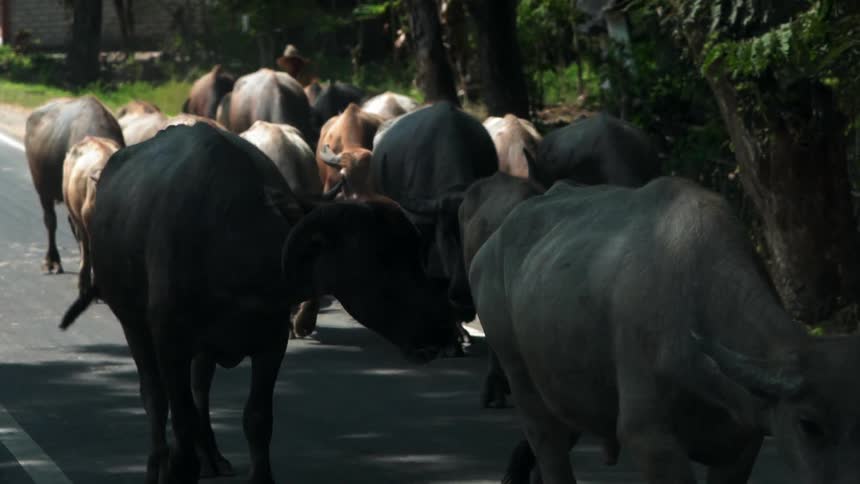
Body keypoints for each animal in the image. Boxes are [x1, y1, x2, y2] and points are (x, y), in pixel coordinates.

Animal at [469, 177, 860, 484]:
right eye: (808, 424)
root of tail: (488, 249)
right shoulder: (650, 437)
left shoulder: (743, 445)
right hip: (521, 380)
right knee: (548, 448)